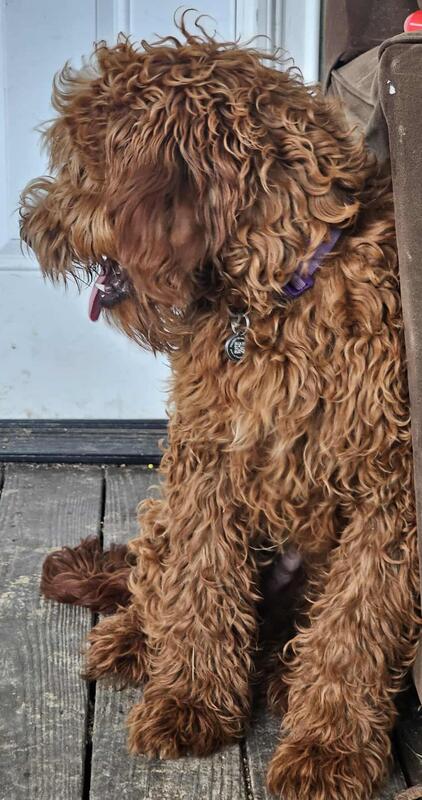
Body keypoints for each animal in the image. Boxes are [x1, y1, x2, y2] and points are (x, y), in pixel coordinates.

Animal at [19, 18, 421, 800]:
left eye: (86, 167)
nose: (33, 228)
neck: (275, 298)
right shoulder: (205, 462)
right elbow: (200, 588)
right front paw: (190, 705)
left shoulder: (389, 493)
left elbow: (355, 630)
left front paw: (327, 750)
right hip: (165, 509)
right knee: (153, 582)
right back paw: (132, 640)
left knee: (291, 635)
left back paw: (283, 680)